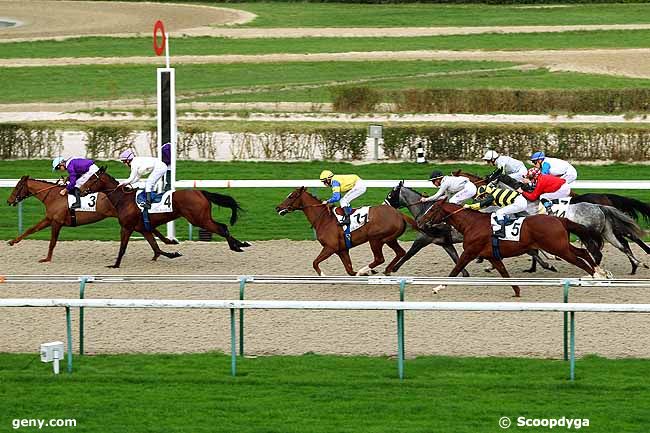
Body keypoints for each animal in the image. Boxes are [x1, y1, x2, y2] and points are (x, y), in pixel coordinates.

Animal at [6, 174, 177, 262]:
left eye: (17, 187)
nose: (8, 201)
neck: (53, 196)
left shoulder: (56, 222)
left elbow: (52, 242)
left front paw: (47, 258)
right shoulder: (49, 219)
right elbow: (31, 229)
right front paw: (12, 241)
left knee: (149, 228)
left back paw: (167, 244)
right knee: (148, 229)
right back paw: (165, 246)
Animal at [76, 168, 248, 266]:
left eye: (92, 178)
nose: (80, 189)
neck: (124, 200)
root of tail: (201, 192)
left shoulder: (127, 227)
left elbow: (123, 247)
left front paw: (115, 264)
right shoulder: (143, 228)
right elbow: (156, 247)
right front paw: (173, 254)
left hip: (199, 219)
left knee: (222, 228)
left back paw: (236, 247)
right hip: (202, 218)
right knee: (223, 227)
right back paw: (241, 244)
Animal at [274, 186, 410, 276]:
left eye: (291, 196)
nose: (278, 208)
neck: (324, 218)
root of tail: (398, 213)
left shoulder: (330, 247)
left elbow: (315, 262)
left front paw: (322, 275)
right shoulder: (342, 250)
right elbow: (349, 270)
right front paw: (359, 273)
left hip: (375, 239)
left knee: (379, 258)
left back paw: (366, 270)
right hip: (390, 239)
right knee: (400, 252)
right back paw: (385, 270)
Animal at [416, 200, 608, 296]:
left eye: (432, 209)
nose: (419, 221)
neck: (472, 224)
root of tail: (558, 218)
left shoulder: (470, 252)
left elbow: (455, 270)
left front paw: (438, 287)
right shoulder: (492, 255)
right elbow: (504, 273)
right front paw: (517, 291)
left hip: (557, 248)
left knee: (580, 260)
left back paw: (596, 275)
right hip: (560, 245)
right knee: (583, 252)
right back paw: (600, 272)